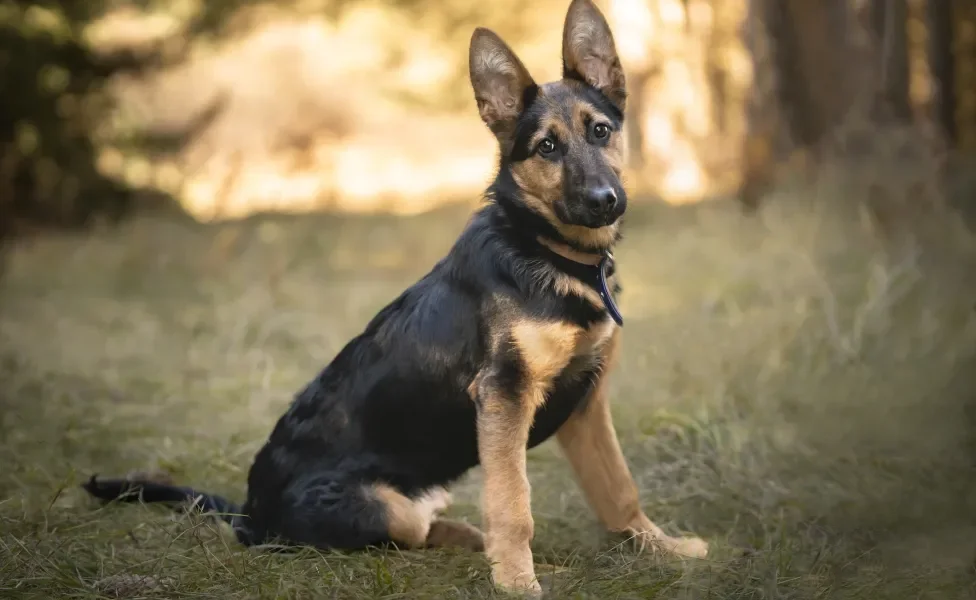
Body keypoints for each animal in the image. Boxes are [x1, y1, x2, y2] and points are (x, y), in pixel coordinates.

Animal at [82, 0, 708, 592]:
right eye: (547, 147)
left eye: (600, 130)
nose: (605, 201)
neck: (546, 249)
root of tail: (250, 514)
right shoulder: (505, 395)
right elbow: (514, 505)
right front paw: (518, 582)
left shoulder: (585, 401)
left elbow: (618, 488)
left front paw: (663, 549)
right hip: (380, 506)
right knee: (403, 537)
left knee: (430, 526)